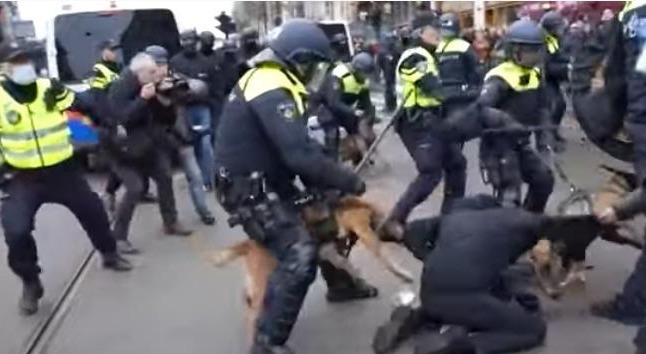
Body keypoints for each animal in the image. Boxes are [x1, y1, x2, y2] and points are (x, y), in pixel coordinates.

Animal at [213, 195, 416, 342]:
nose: (405, 237)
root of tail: (250, 243)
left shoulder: (330, 251)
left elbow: (347, 264)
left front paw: (359, 278)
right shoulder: (363, 230)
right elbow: (383, 256)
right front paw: (403, 273)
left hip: (259, 278)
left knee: (247, 294)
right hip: (264, 280)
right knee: (253, 313)